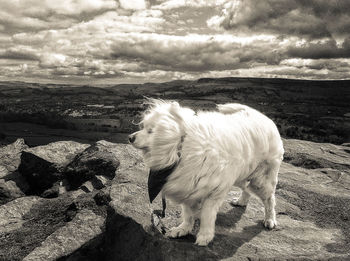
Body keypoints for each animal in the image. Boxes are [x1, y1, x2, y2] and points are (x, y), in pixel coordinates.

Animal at [129, 98, 284, 245]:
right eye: (143, 127)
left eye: (151, 131)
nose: (130, 137)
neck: (180, 148)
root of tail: (263, 117)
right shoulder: (188, 187)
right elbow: (188, 214)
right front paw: (183, 229)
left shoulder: (213, 192)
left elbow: (207, 216)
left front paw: (205, 236)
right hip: (242, 175)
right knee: (246, 189)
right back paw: (241, 201)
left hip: (260, 181)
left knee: (270, 199)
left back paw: (270, 220)